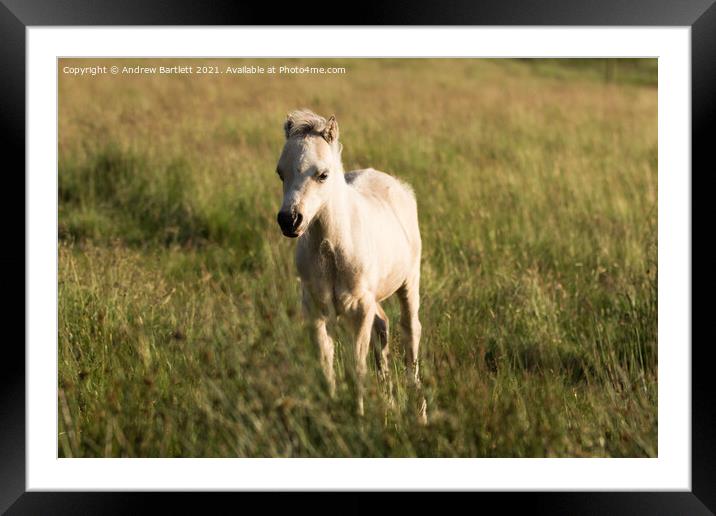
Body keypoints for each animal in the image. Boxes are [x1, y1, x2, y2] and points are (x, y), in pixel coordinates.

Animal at [274, 109, 426, 420]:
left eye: (322, 174)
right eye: (280, 172)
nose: (289, 220)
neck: (332, 251)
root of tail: (398, 186)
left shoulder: (358, 309)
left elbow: (356, 368)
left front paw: (359, 417)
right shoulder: (316, 309)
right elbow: (325, 367)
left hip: (409, 281)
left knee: (410, 328)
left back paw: (417, 404)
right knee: (383, 325)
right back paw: (388, 398)